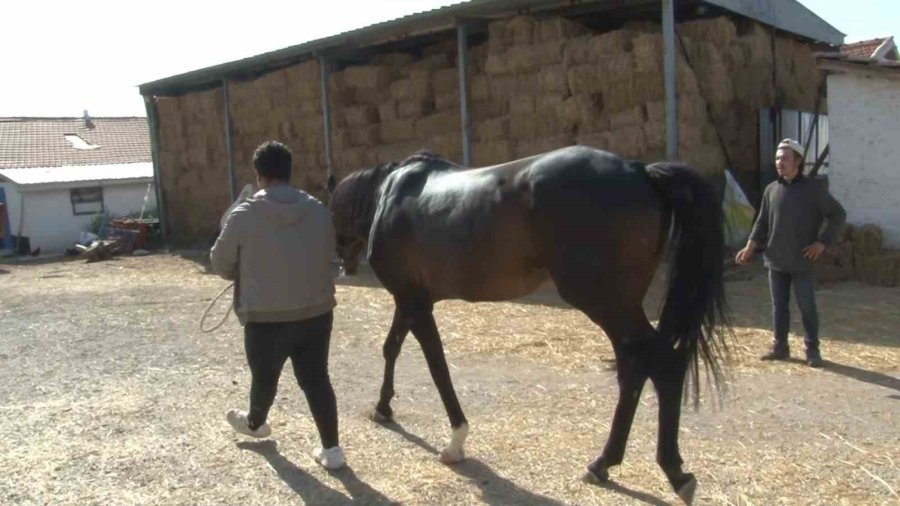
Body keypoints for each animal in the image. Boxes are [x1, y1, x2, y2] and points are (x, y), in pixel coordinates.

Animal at [326, 145, 728, 502]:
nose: (344, 264)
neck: (389, 195)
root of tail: (639, 169)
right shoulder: (411, 299)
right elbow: (392, 347)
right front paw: (383, 408)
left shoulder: (414, 302)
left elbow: (436, 365)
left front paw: (455, 441)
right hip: (619, 307)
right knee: (637, 369)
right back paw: (612, 465)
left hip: (608, 304)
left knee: (660, 365)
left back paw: (661, 470)